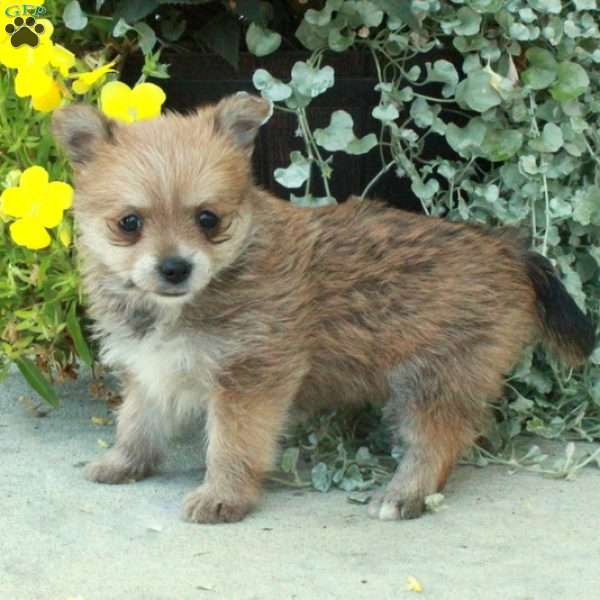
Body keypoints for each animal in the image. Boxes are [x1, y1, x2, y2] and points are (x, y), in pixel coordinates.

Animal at [52, 96, 596, 524]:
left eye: (209, 220)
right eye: (129, 223)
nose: (174, 268)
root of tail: (508, 248)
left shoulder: (249, 378)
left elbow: (231, 445)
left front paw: (222, 496)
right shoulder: (152, 371)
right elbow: (137, 424)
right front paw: (123, 463)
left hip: (433, 378)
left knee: (438, 441)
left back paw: (405, 494)